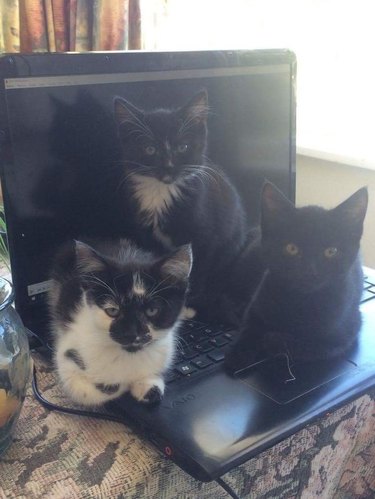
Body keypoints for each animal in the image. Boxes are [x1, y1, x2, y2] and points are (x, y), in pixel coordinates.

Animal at [48, 238, 192, 406]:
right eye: (112, 310)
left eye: (152, 311)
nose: (132, 333)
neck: (128, 353)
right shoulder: (67, 352)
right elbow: (90, 390)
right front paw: (121, 384)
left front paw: (147, 384)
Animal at [114, 90, 247, 320]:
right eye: (150, 149)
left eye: (182, 147)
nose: (169, 167)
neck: (161, 191)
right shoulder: (146, 235)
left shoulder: (205, 237)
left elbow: (198, 268)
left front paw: (187, 306)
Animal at [225, 182, 368, 374]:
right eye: (291, 248)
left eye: (331, 251)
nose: (309, 270)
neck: (300, 300)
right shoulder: (256, 307)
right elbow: (249, 327)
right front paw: (237, 354)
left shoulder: (344, 334)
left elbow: (310, 346)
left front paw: (273, 339)